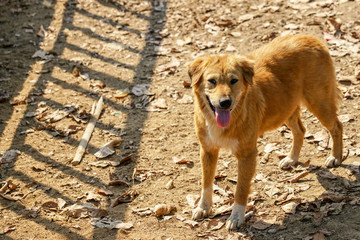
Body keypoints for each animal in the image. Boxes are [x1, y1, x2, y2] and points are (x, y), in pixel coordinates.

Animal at [188, 34, 344, 230]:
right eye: (212, 81)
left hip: (318, 103)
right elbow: (206, 182)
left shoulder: (247, 154)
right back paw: (292, 159)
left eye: (234, 81)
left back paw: (336, 157)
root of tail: (310, 37)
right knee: (300, 130)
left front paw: (236, 217)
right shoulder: (207, 150)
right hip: (286, 109)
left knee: (337, 126)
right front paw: (204, 207)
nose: (225, 102)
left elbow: (241, 188)